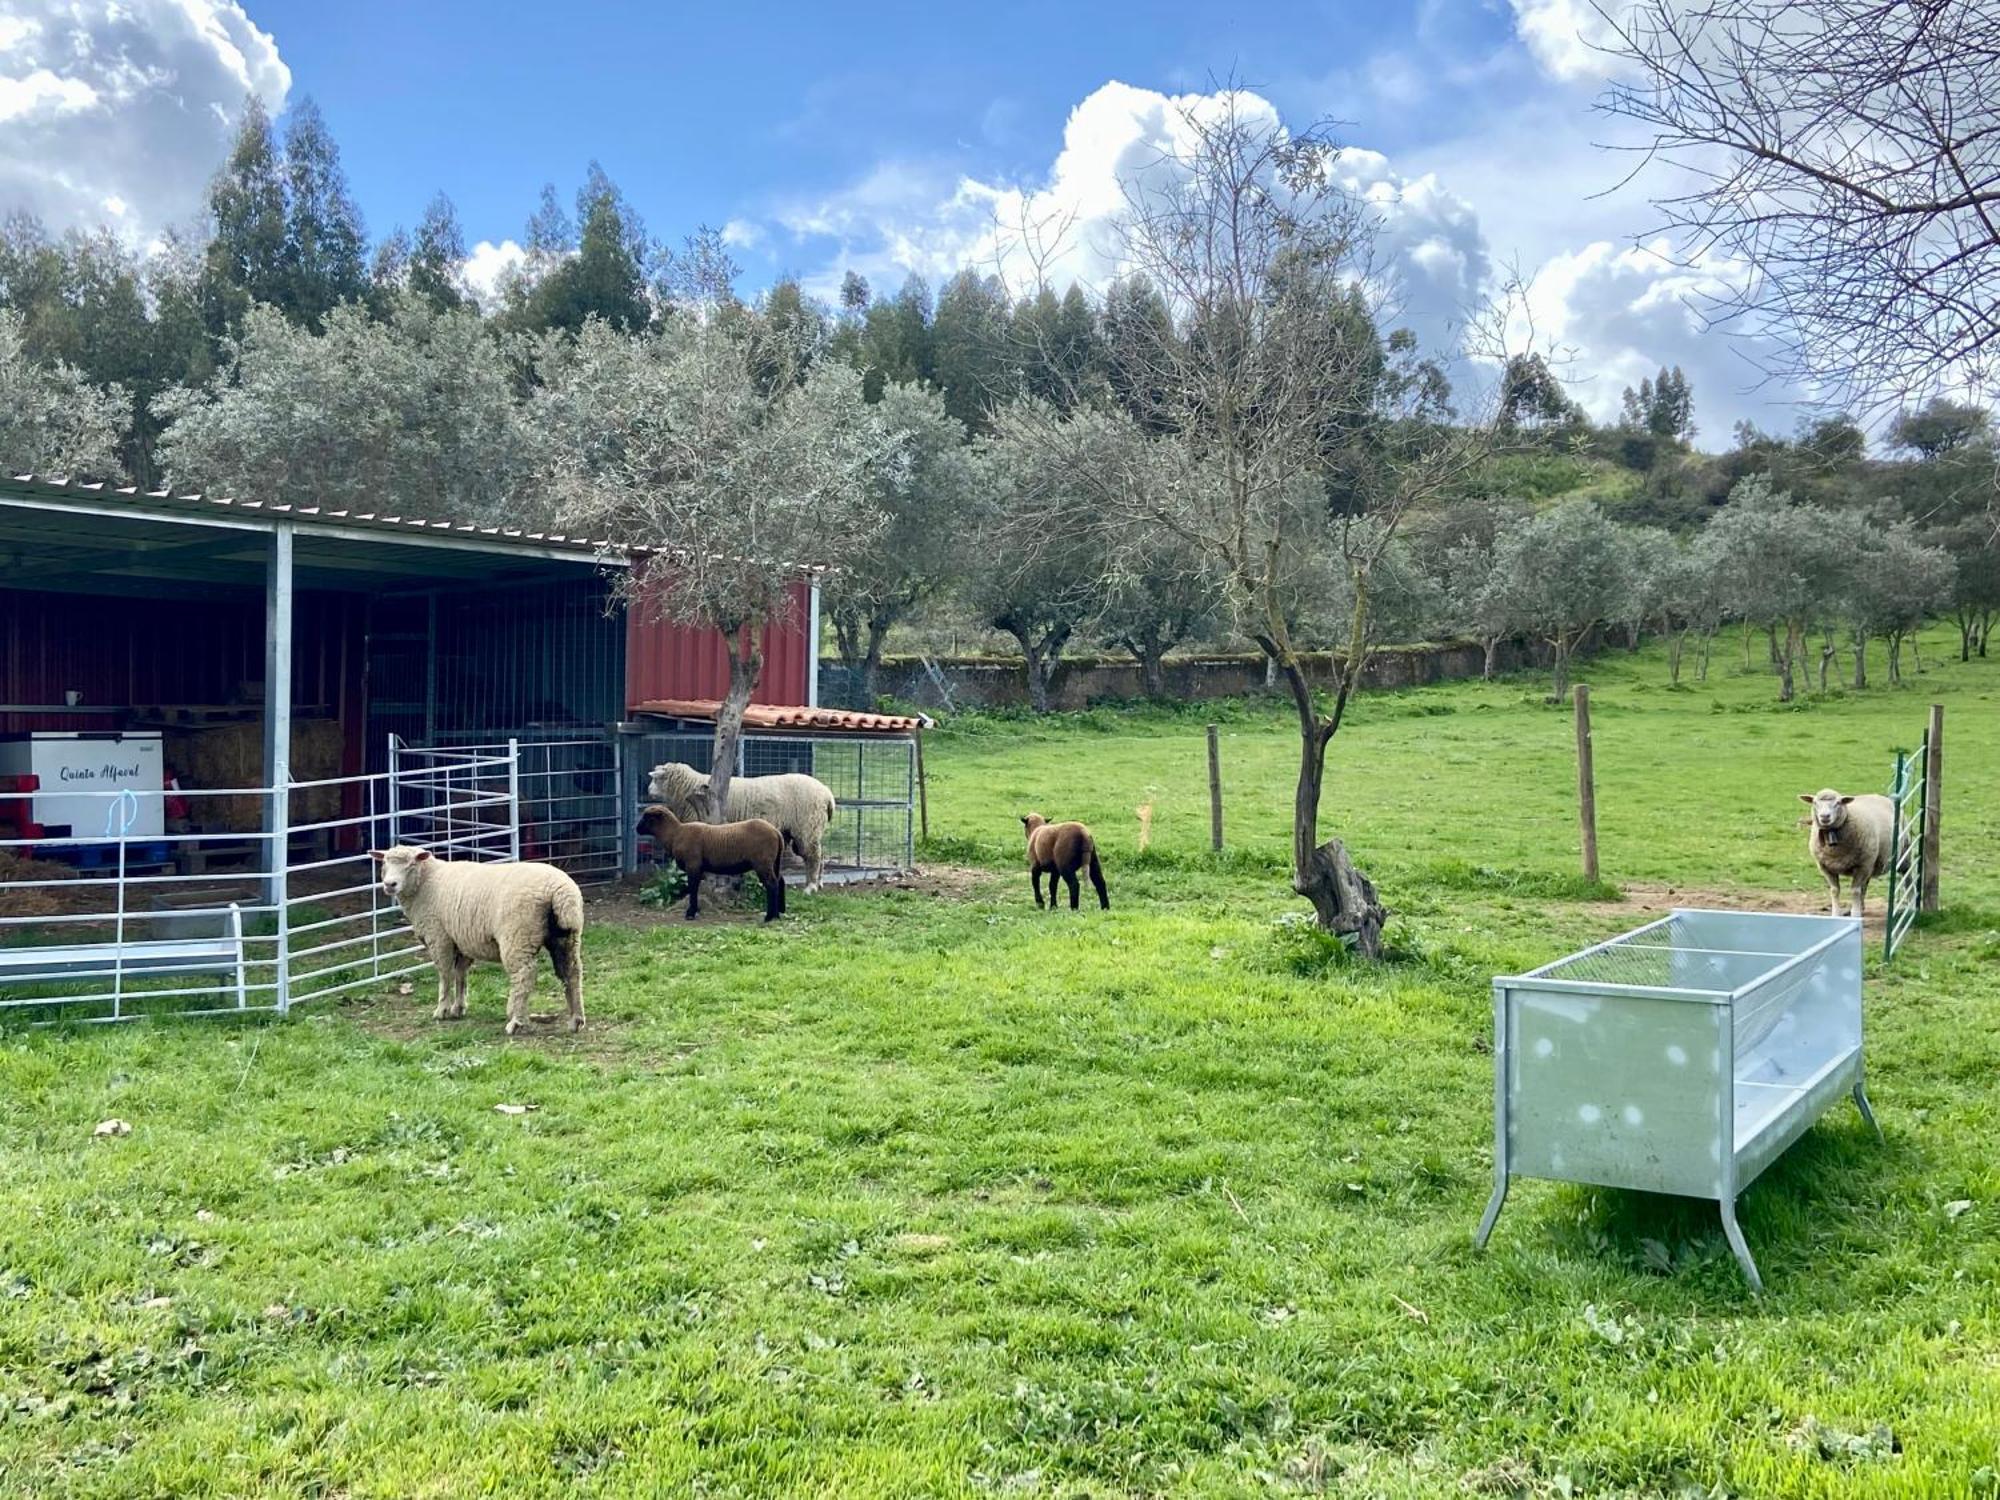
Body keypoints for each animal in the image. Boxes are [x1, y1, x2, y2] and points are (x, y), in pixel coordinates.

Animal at [370, 852, 584, 1040]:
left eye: (411, 864)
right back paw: (576, 1020)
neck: (427, 883)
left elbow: (445, 974)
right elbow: (460, 974)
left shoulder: (438, 937)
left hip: (518, 936)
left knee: (524, 975)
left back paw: (515, 1021)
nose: (389, 884)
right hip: (566, 936)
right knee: (571, 972)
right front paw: (458, 1008)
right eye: (384, 863)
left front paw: (442, 1010)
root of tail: (560, 890)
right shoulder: (461, 940)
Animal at [644, 804, 792, 924]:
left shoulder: (693, 864)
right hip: (773, 861)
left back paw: (769, 917)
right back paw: (779, 913)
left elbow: (692, 887)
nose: (638, 829)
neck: (675, 834)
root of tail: (776, 832)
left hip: (763, 862)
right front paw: (694, 911)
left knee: (771, 884)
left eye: (647, 817)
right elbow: (695, 887)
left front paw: (690, 913)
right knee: (779, 881)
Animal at [648, 764, 836, 892]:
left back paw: (810, 887)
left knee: (813, 855)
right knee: (820, 853)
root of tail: (827, 794)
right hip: (811, 828)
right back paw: (819, 883)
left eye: (656, 779)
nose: (648, 790)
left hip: (807, 825)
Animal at [1808, 792, 1896, 924]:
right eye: (1814, 802)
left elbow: (1855, 891)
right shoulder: (1825, 867)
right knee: (1864, 886)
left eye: (1838, 803)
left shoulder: (1861, 865)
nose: (1825, 816)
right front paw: (1836, 914)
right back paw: (1861, 907)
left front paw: (1855, 915)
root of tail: (1877, 795)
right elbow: (1834, 890)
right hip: (1869, 865)